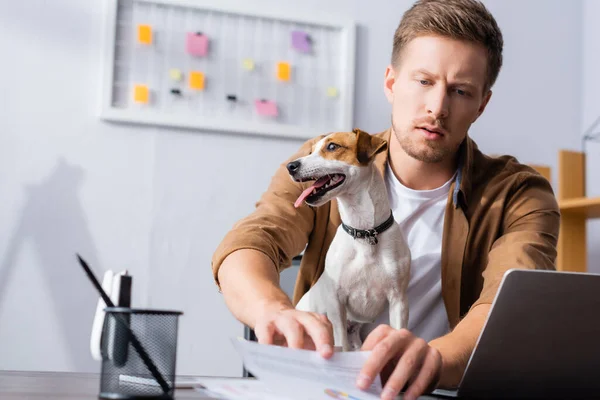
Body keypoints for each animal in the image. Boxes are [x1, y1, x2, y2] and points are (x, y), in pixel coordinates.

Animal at [288, 128, 412, 350]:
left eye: (332, 146)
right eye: (311, 151)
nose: (290, 166)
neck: (364, 232)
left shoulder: (399, 300)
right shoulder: (337, 303)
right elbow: (341, 344)